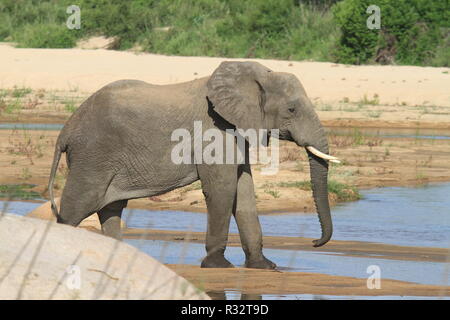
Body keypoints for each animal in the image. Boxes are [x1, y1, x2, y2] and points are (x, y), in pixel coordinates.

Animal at [48, 60, 338, 270]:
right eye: (291, 110)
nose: (314, 242)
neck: (258, 75)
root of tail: (66, 129)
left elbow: (244, 190)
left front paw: (265, 266)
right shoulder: (214, 129)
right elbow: (223, 189)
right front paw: (219, 265)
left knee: (111, 208)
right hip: (93, 155)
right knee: (78, 206)